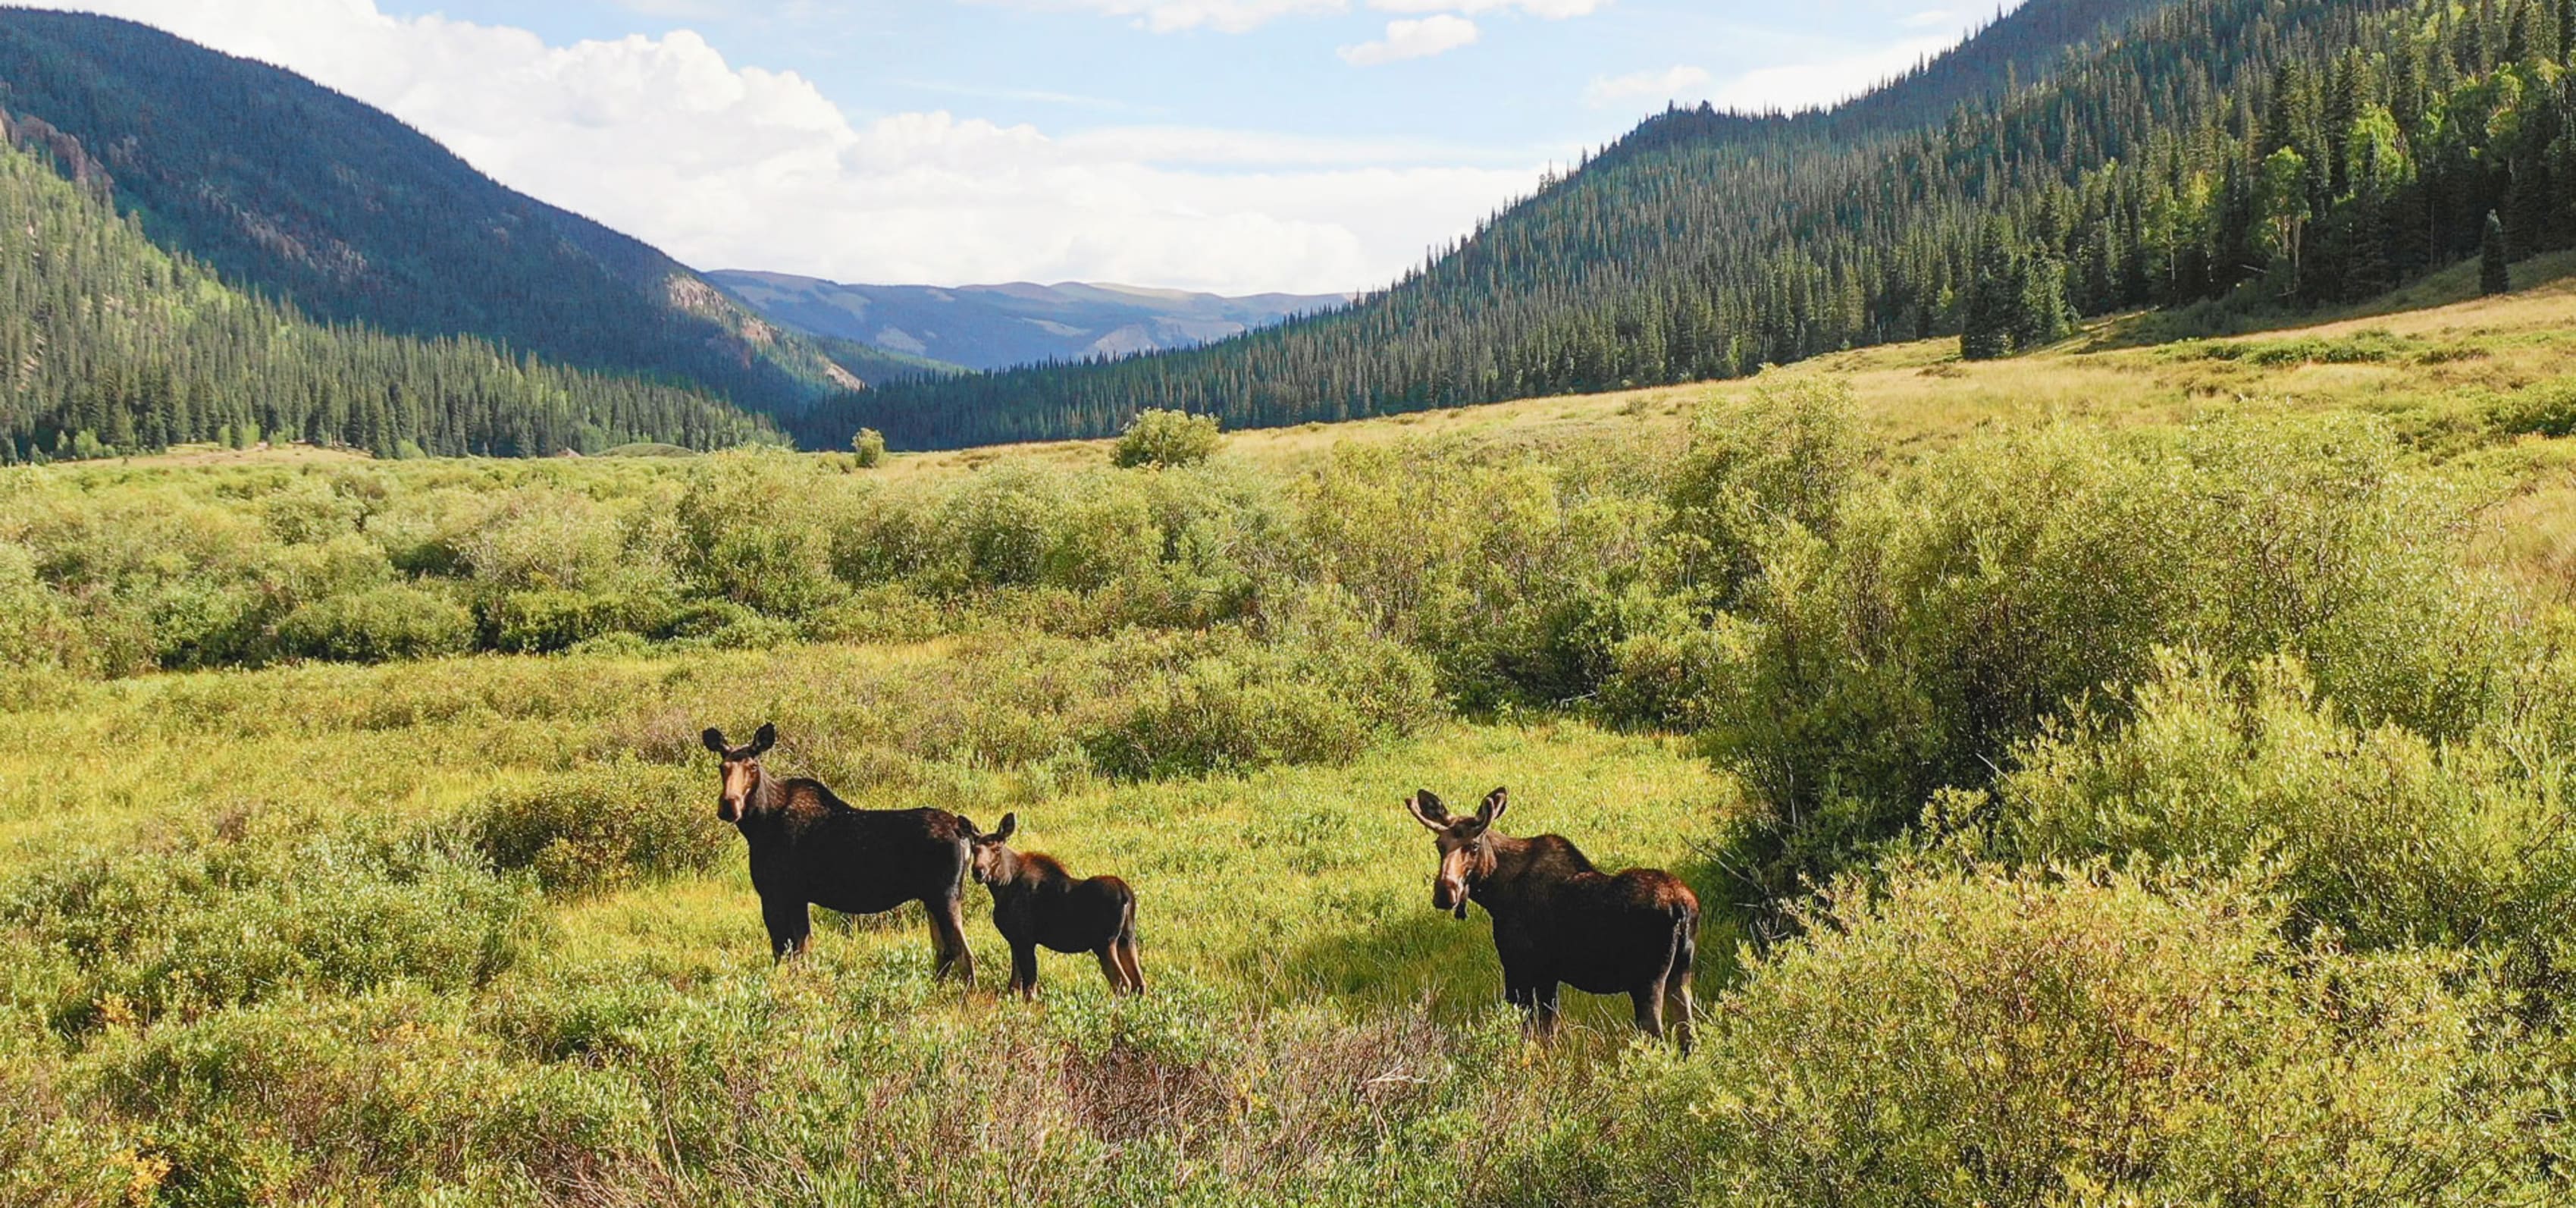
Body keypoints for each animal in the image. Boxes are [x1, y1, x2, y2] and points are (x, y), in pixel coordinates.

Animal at [702, 724, 975, 983]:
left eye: (752, 767)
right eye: (722, 766)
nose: (729, 806)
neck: (759, 825)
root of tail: (965, 836)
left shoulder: (775, 894)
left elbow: (785, 953)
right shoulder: (797, 898)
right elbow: (801, 952)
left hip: (944, 895)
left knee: (963, 953)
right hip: (933, 898)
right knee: (943, 951)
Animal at [962, 812, 1143, 998]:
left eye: (997, 849)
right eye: (974, 849)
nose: (978, 871)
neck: (1002, 887)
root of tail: (1127, 896)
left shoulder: (1025, 939)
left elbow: (1030, 989)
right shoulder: (1015, 939)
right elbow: (1014, 986)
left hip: (1105, 942)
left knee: (1123, 983)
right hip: (1127, 938)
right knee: (1139, 983)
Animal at [1403, 786, 1697, 1049]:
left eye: (1473, 845)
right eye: (1439, 845)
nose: (1444, 893)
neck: (1496, 894)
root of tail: (1682, 907)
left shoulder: (1518, 965)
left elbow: (1526, 1028)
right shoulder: (1548, 974)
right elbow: (1548, 1031)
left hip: (1647, 983)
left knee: (1659, 1039)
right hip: (1681, 976)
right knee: (1688, 1038)